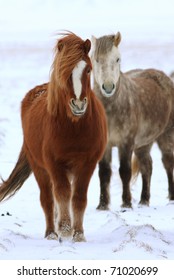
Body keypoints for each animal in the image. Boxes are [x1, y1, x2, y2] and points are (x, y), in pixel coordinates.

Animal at [90, 31, 174, 209]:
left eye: (117, 59)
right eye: (96, 59)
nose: (108, 87)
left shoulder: (126, 143)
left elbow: (125, 171)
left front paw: (126, 203)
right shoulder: (105, 144)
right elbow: (104, 172)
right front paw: (103, 204)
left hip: (166, 135)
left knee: (168, 162)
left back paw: (171, 196)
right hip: (143, 143)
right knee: (147, 166)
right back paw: (144, 200)